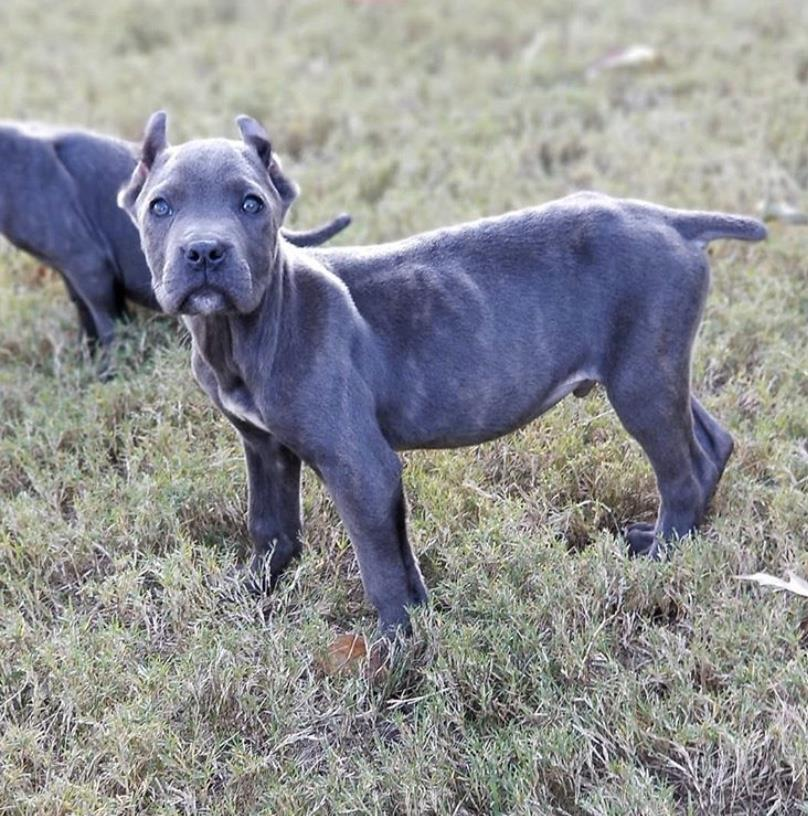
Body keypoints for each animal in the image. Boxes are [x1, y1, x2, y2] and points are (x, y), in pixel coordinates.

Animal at [0, 120, 350, 348]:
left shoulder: (89, 267)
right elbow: (86, 316)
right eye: (161, 206)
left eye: (251, 204)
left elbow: (108, 324)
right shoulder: (74, 273)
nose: (204, 251)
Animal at [118, 111, 764, 636]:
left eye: (252, 204)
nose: (205, 252)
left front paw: (394, 651)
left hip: (640, 384)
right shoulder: (265, 448)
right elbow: (271, 527)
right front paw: (250, 593)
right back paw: (676, 538)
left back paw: (662, 558)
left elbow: (380, 566)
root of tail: (668, 218)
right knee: (710, 443)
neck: (244, 332)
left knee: (680, 472)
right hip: (655, 366)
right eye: (160, 207)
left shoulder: (360, 466)